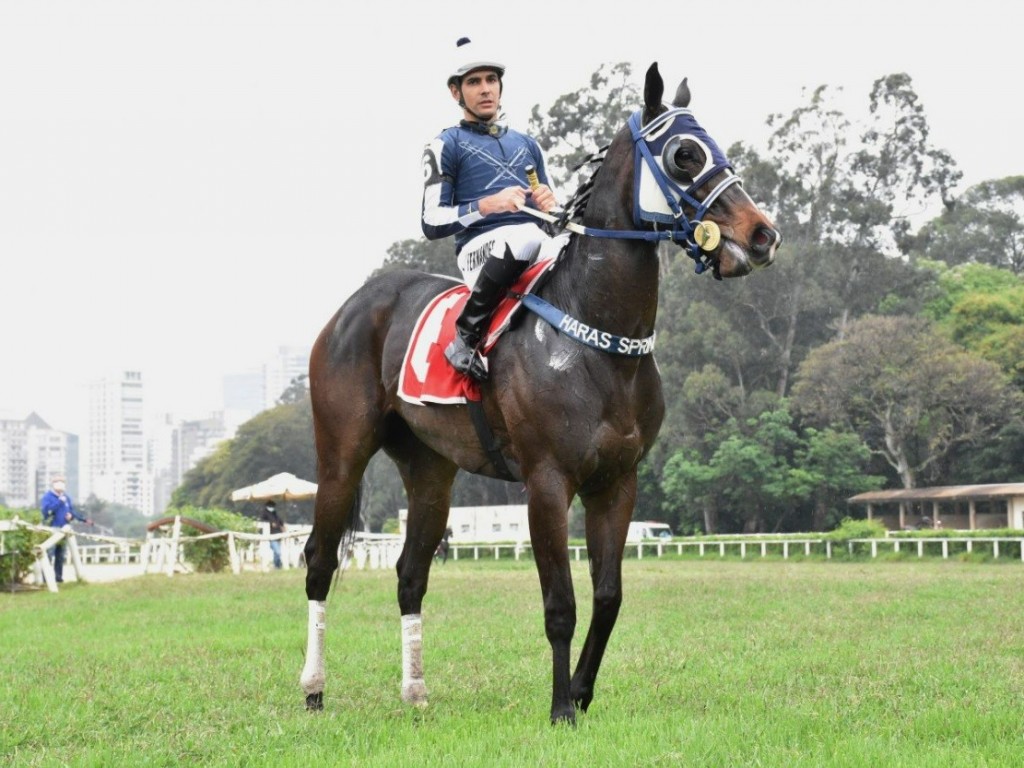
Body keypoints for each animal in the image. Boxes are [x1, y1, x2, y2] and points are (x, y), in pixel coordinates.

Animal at [299, 63, 778, 724]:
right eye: (684, 154)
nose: (762, 235)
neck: (596, 343)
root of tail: (352, 306)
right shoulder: (548, 482)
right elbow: (560, 605)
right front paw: (560, 709)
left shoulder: (616, 482)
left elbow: (608, 596)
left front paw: (581, 691)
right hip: (341, 457)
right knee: (319, 563)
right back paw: (314, 690)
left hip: (430, 472)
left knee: (410, 573)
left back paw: (416, 692)